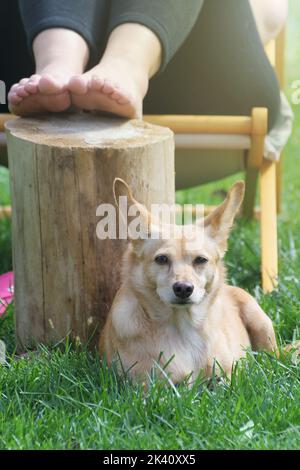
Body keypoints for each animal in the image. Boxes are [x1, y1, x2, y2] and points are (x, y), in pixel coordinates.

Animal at [99, 178, 278, 384]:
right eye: (161, 259)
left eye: (201, 260)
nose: (184, 288)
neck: (181, 326)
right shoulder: (143, 385)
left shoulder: (230, 374)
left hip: (261, 322)